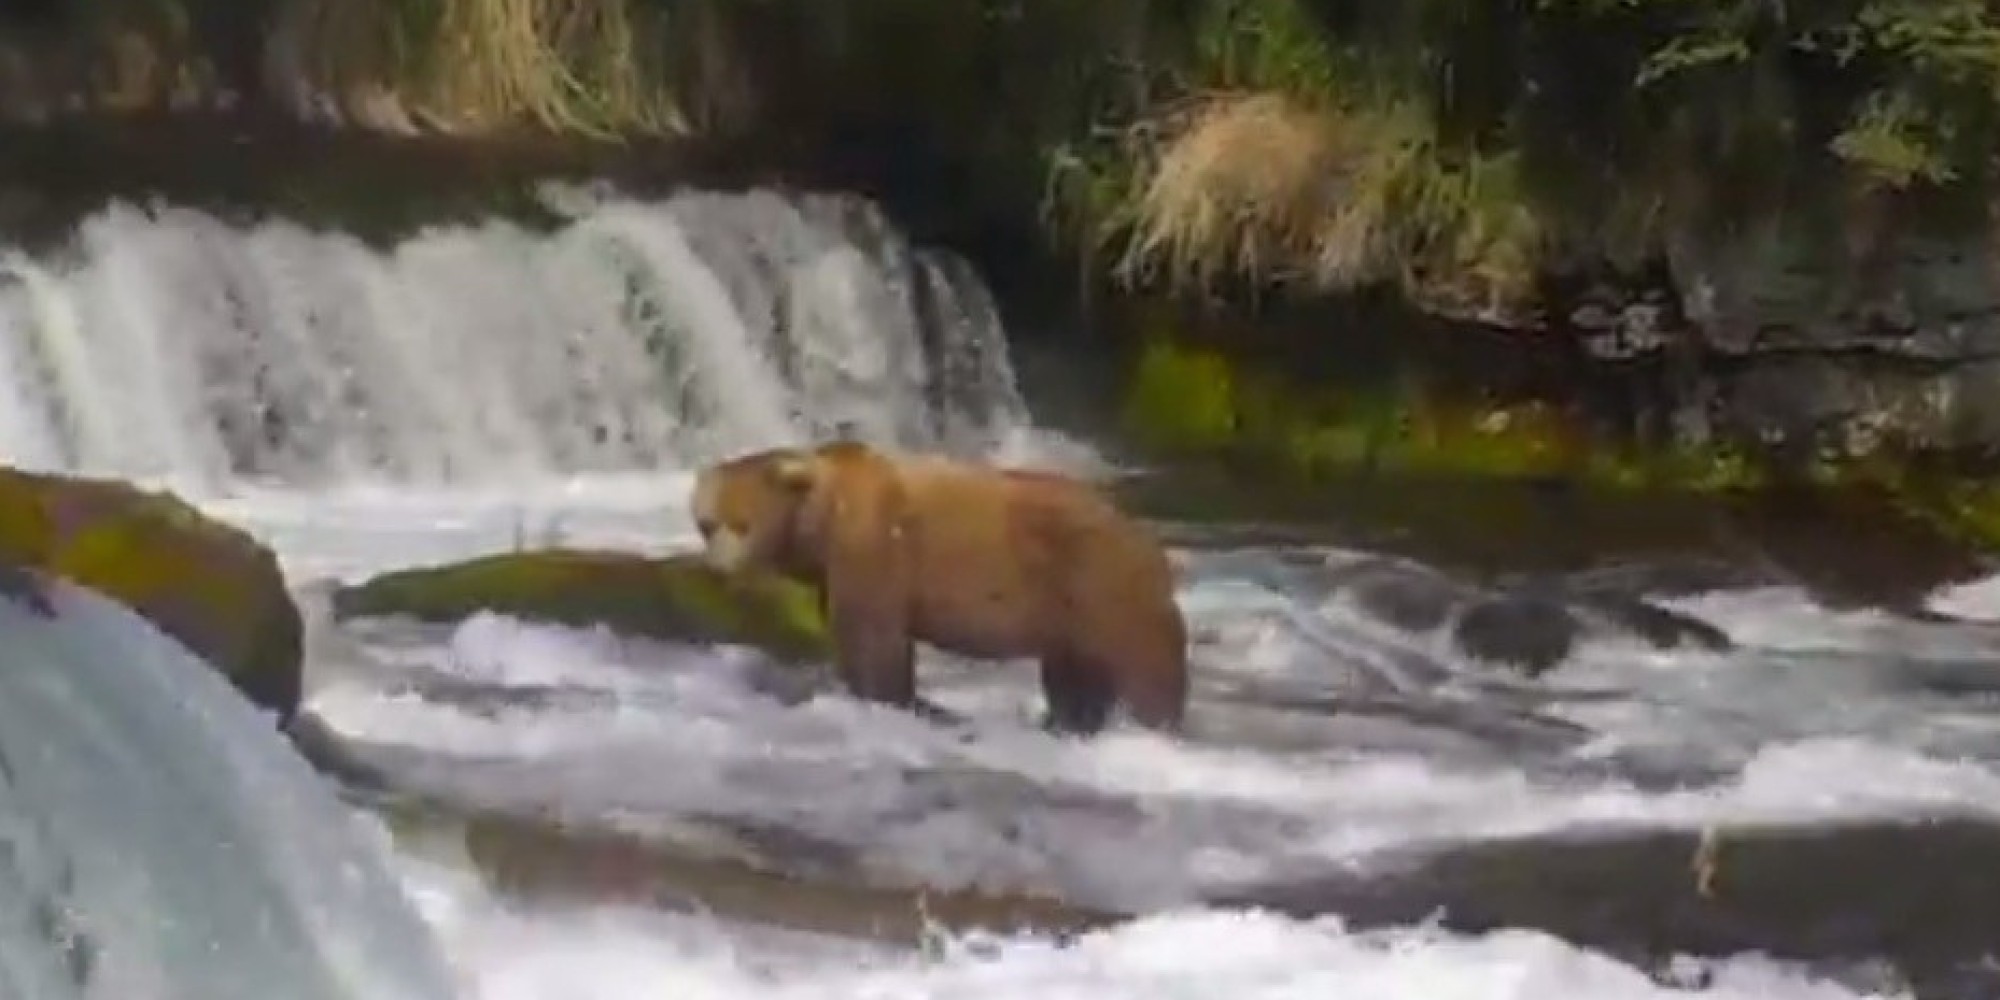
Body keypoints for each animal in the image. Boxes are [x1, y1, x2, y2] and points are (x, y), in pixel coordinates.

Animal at [692, 444, 1184, 736]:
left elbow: (874, 640)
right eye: (707, 523)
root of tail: (1151, 543)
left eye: (742, 523)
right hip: (1070, 614)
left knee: (1145, 670)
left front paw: (886, 697)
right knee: (1074, 677)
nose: (717, 568)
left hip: (1100, 586)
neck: (819, 523)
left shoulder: (873, 546)